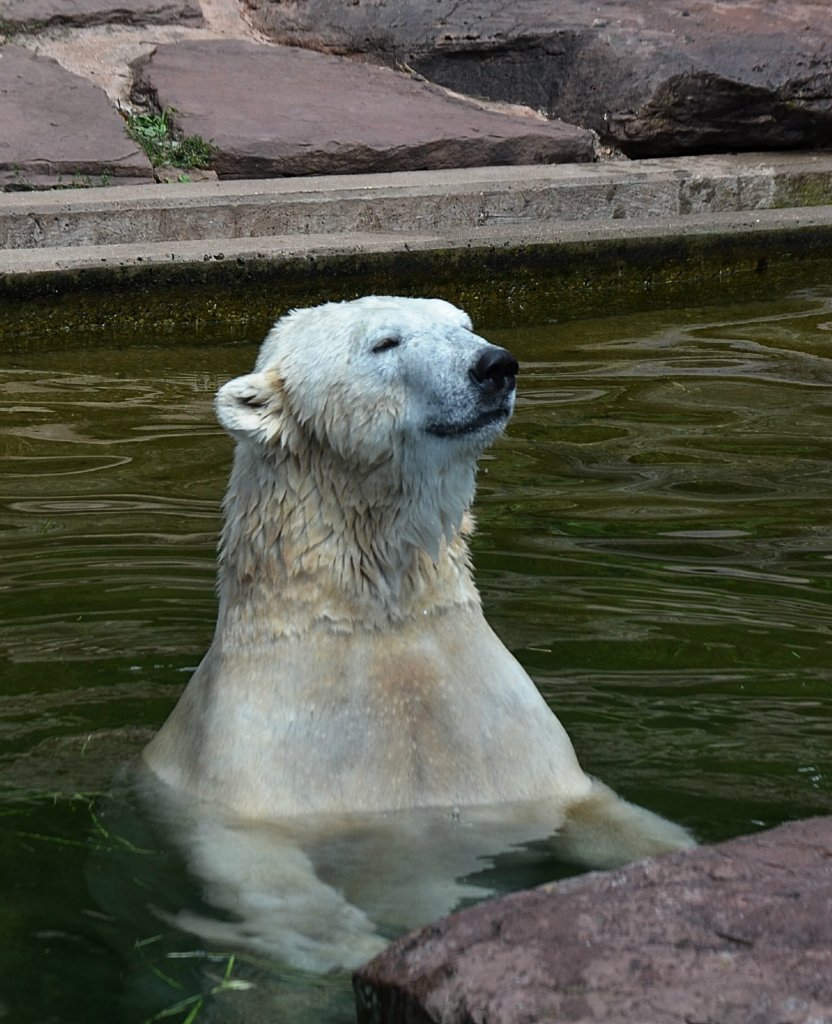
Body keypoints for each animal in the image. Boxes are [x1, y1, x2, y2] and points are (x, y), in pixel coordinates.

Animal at [141, 294, 688, 966]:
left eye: (463, 324)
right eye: (385, 342)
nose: (494, 366)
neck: (377, 623)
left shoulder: (509, 752)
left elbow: (604, 813)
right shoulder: (257, 767)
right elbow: (268, 880)